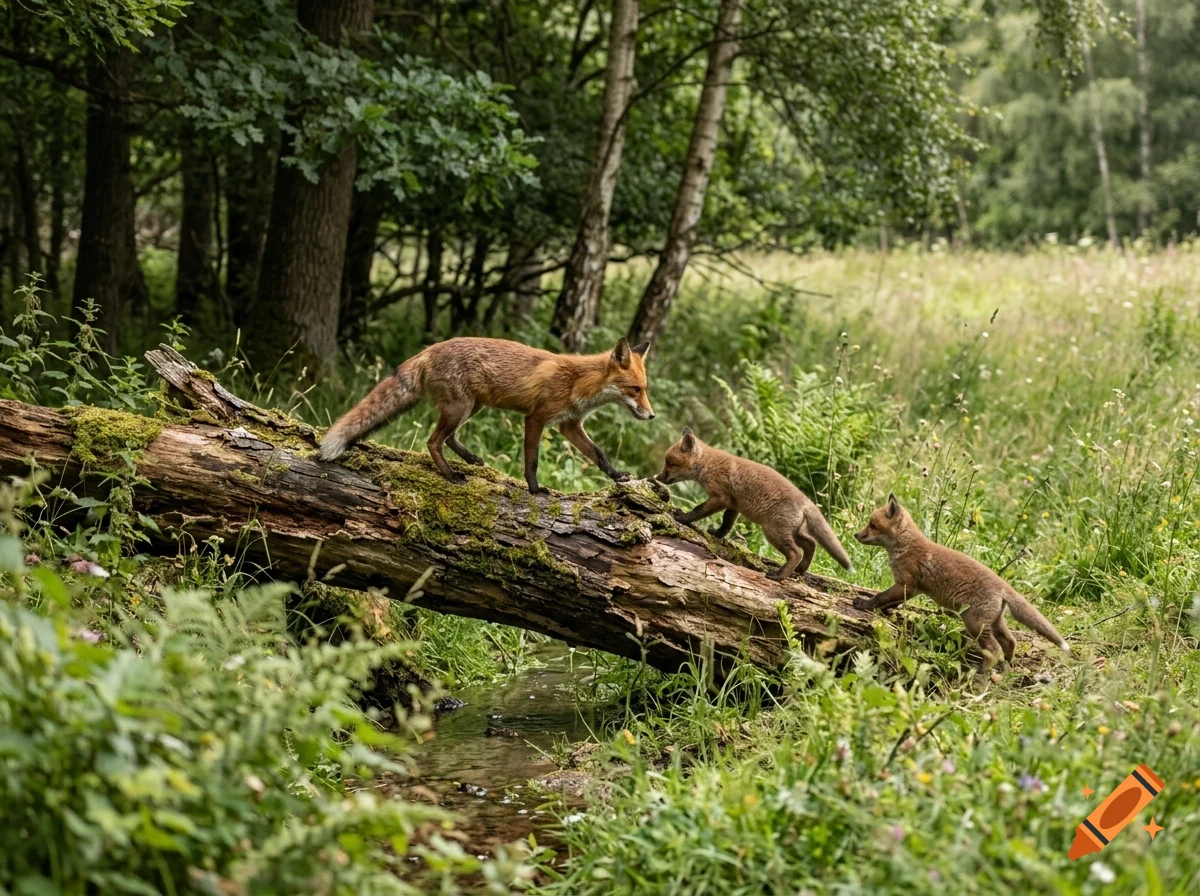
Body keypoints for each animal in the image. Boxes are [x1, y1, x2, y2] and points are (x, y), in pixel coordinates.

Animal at [319, 336, 654, 494]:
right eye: (635, 389)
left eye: (645, 388)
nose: (651, 416)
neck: (578, 382)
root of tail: (429, 349)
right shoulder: (536, 418)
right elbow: (532, 461)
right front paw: (535, 490)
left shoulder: (569, 425)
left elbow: (598, 454)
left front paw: (617, 475)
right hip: (461, 408)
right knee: (432, 441)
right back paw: (451, 474)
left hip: (470, 407)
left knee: (447, 438)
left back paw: (470, 459)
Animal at [654, 427, 854, 580]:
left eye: (669, 463)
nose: (657, 477)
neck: (708, 464)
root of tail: (807, 501)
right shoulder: (733, 505)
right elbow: (726, 525)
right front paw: (717, 534)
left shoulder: (720, 497)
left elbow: (698, 510)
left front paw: (683, 518)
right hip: (791, 531)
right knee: (811, 544)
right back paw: (800, 570)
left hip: (773, 531)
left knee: (795, 552)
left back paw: (779, 576)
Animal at [852, 494, 1071, 670]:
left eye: (873, 525)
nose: (855, 535)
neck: (905, 547)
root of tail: (1003, 585)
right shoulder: (911, 589)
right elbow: (891, 602)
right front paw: (883, 611)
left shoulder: (906, 583)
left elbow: (881, 596)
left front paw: (864, 604)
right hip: (994, 622)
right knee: (1010, 642)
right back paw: (1007, 667)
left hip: (974, 622)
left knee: (994, 648)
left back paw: (983, 672)